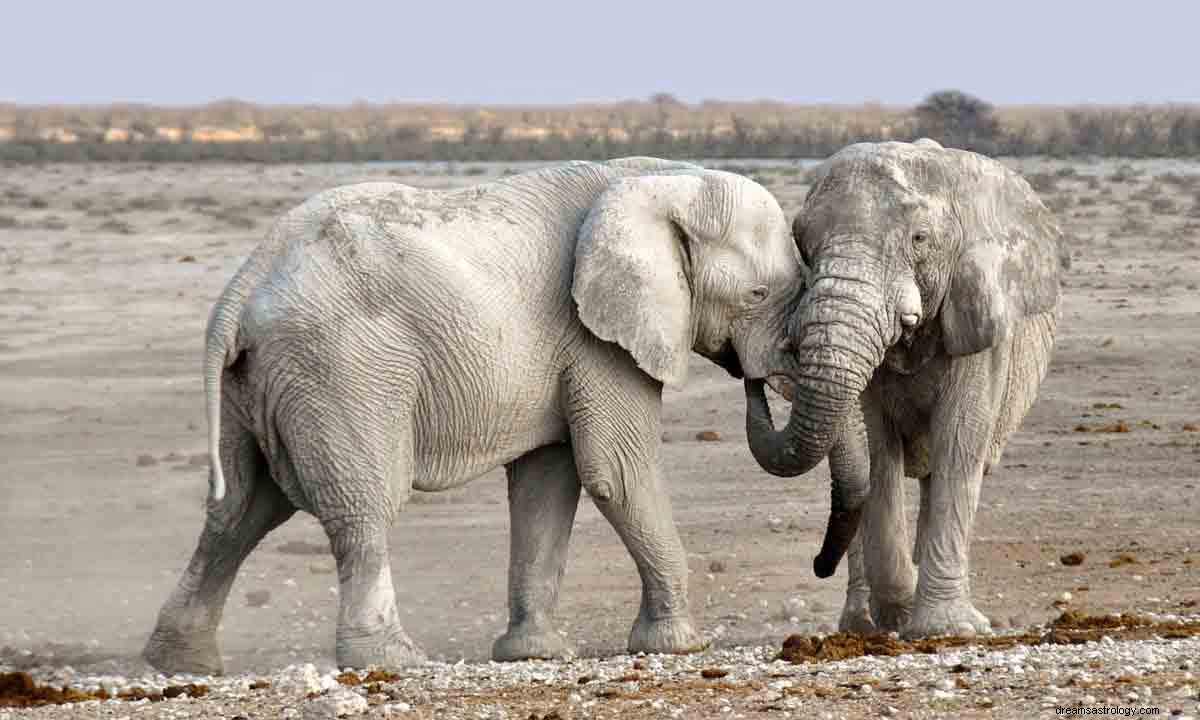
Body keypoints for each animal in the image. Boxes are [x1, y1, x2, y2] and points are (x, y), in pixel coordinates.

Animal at [147, 157, 806, 676]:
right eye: (757, 295)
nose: (755, 380)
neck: (667, 180)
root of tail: (242, 287)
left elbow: (547, 483)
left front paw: (534, 654)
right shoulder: (596, 338)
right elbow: (617, 473)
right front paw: (679, 645)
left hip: (257, 383)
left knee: (240, 509)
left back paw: (181, 664)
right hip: (341, 369)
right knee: (362, 506)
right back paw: (393, 660)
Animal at [744, 139, 1065, 633]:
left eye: (920, 239)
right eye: (802, 243)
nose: (818, 565)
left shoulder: (979, 319)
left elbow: (961, 440)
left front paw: (947, 628)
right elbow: (877, 448)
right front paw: (899, 612)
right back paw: (862, 624)